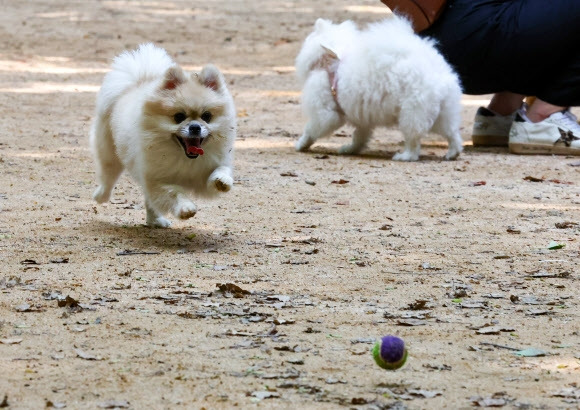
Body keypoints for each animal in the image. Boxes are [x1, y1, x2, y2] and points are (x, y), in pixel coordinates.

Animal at [90, 44, 236, 227]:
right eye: (179, 117)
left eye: (207, 116)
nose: (195, 127)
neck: (184, 157)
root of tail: (137, 83)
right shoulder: (156, 180)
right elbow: (174, 192)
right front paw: (186, 208)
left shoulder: (207, 169)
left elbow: (221, 170)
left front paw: (222, 180)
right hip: (110, 153)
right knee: (108, 177)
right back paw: (101, 196)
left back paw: (155, 221)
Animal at [294, 17, 462, 162]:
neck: (330, 64)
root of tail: (439, 76)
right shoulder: (362, 119)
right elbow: (359, 137)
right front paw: (350, 149)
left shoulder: (325, 115)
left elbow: (310, 130)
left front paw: (301, 145)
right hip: (443, 114)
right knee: (453, 134)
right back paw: (452, 154)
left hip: (412, 114)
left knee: (413, 144)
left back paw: (404, 156)